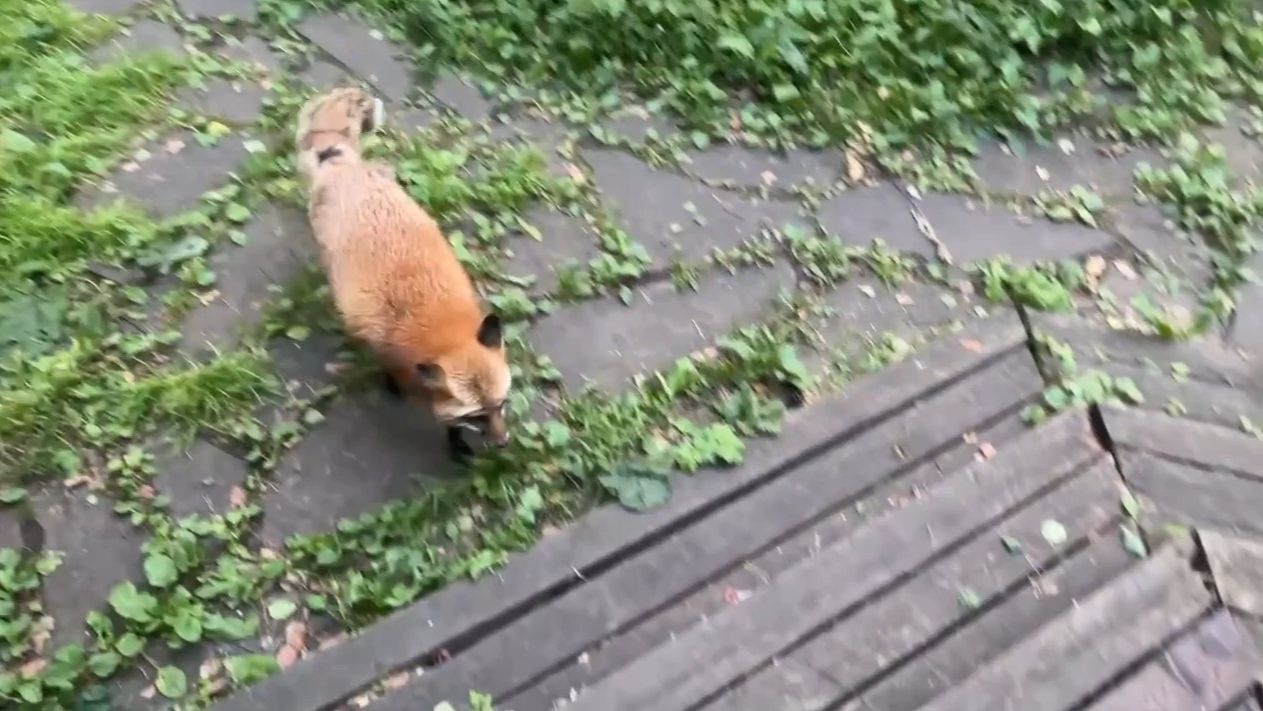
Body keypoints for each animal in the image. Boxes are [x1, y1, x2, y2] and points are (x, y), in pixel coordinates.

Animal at [293, 87, 511, 458]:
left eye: (501, 405)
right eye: (477, 416)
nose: (503, 443)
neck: (437, 321)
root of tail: (341, 166)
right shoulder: (390, 353)